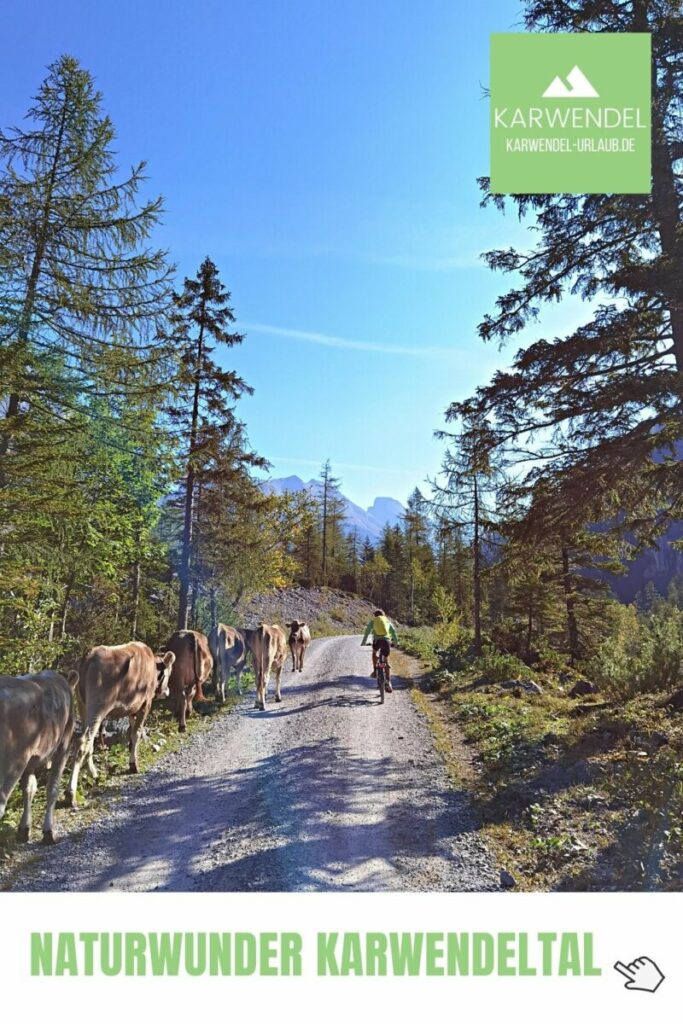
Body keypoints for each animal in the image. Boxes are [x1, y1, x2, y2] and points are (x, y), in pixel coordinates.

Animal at [0, 667, 80, 843]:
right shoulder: (63, 747)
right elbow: (52, 788)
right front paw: (49, 832)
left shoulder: (31, 760)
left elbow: (29, 788)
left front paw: (24, 830)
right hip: (14, 762)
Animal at [66, 638, 176, 806]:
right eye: (169, 672)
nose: (167, 691)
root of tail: (89, 656)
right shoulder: (145, 704)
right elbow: (137, 733)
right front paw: (133, 765)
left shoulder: (132, 708)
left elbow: (131, 732)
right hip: (98, 706)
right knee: (83, 742)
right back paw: (70, 794)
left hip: (82, 705)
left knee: (87, 741)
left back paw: (93, 773)